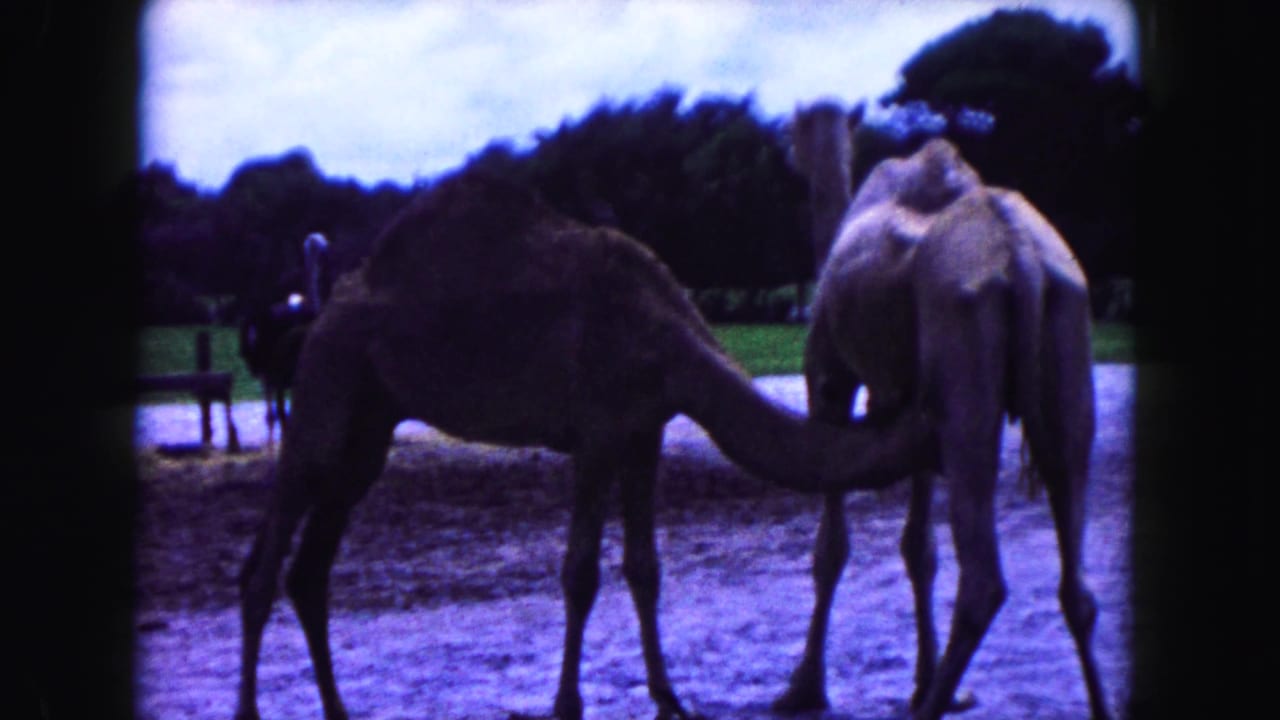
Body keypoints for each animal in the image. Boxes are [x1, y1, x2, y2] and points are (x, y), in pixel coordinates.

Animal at [233, 169, 944, 720]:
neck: (668, 337)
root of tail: (323, 310)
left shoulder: (644, 432)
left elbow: (644, 567)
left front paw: (669, 697)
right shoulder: (598, 434)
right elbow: (580, 573)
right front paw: (567, 703)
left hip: (370, 422)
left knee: (310, 567)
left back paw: (337, 709)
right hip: (327, 380)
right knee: (268, 554)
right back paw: (250, 707)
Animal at [775, 100, 1109, 720]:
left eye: (800, 125)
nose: (791, 146)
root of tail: (1023, 259)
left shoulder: (828, 379)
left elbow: (831, 547)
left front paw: (803, 688)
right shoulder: (914, 408)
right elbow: (919, 548)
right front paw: (927, 680)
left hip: (964, 337)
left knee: (982, 581)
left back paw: (929, 700)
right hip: (1068, 325)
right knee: (1075, 570)